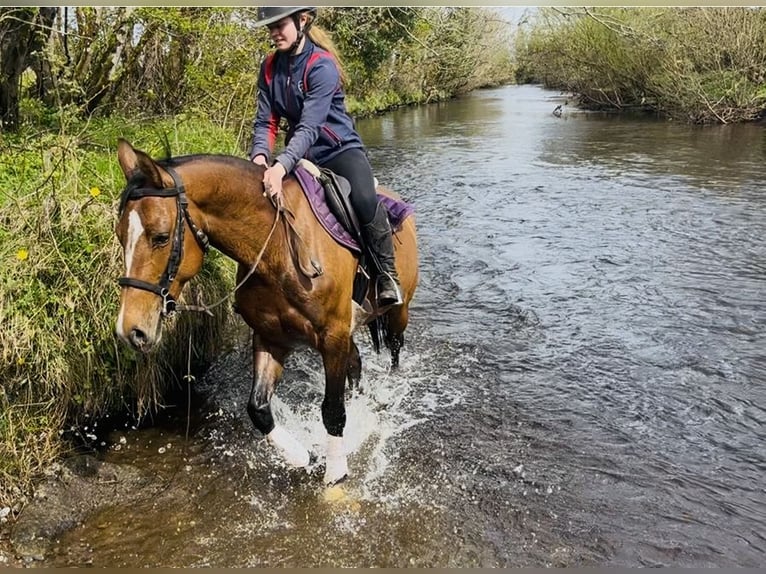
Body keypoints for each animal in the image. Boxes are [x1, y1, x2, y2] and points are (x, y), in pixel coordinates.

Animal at [113, 139, 418, 485]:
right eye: (119, 235)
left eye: (161, 237)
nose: (130, 330)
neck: (276, 249)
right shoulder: (271, 337)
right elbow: (258, 408)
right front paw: (300, 455)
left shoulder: (332, 337)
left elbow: (332, 410)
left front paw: (335, 472)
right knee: (356, 364)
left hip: (397, 312)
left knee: (394, 349)